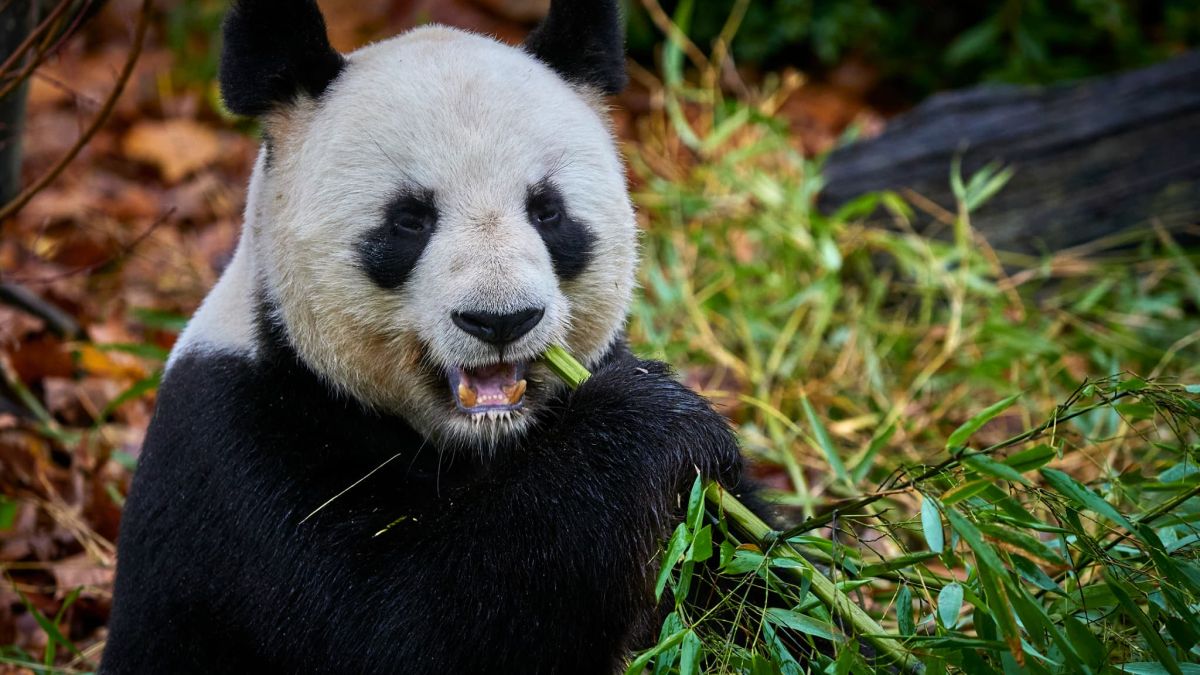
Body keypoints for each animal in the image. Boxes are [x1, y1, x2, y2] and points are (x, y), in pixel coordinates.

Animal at [102, 0, 747, 672]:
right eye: (409, 220)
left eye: (547, 211)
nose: (501, 320)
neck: (479, 443)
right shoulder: (242, 453)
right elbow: (409, 626)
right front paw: (649, 421)